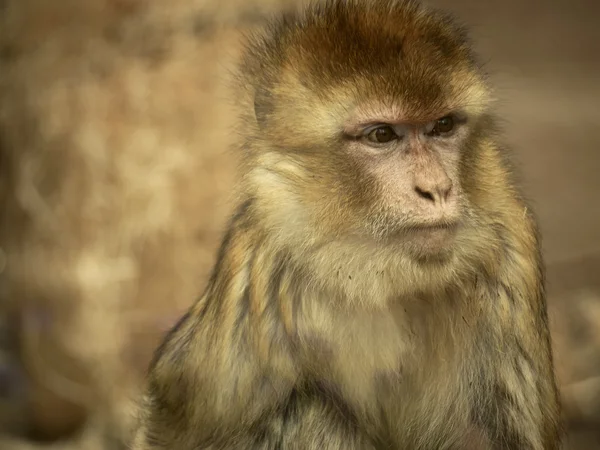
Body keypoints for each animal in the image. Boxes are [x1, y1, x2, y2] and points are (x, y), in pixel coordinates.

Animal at [130, 1, 564, 448]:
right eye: (382, 135)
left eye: (442, 126)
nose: (437, 188)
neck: (379, 276)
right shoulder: (259, 267)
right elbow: (176, 419)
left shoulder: (513, 248)